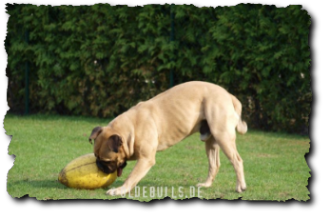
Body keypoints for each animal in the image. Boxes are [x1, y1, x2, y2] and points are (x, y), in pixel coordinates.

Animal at [89, 81, 246, 196]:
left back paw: (240, 186)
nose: (99, 165)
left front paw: (119, 190)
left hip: (223, 136)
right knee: (214, 164)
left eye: (106, 160)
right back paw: (206, 184)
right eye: (95, 156)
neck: (131, 128)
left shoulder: (145, 160)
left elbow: (132, 177)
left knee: (237, 160)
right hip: (211, 141)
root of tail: (228, 95)